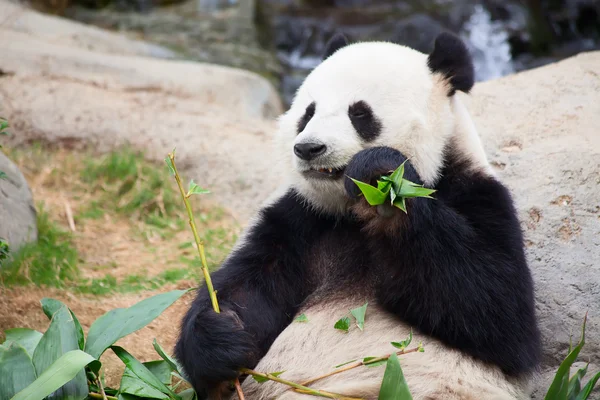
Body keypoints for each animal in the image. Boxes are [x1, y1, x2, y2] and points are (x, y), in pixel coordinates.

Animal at [175, 32, 544, 400]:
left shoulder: (478, 196)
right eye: (308, 113)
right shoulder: (303, 219)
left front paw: (383, 180)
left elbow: (500, 313)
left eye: (360, 113)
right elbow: (251, 283)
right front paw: (221, 338)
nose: (308, 148)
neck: (350, 213)